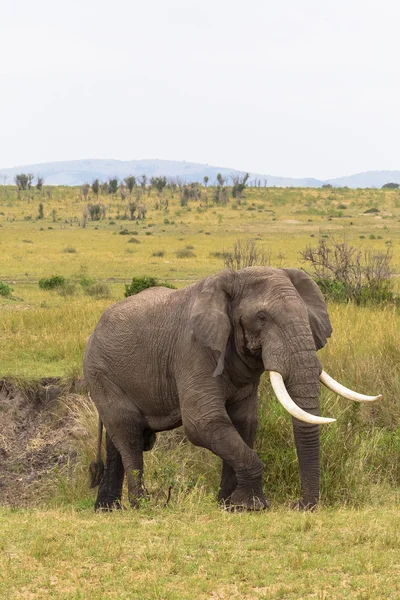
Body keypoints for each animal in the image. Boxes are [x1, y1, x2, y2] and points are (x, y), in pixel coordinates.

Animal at [85, 268, 382, 510]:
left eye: (306, 317)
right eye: (261, 317)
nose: (299, 505)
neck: (233, 279)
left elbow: (244, 422)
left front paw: (230, 505)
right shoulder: (192, 349)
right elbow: (203, 422)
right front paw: (253, 505)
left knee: (118, 440)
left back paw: (107, 509)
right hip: (100, 372)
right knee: (129, 435)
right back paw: (141, 505)